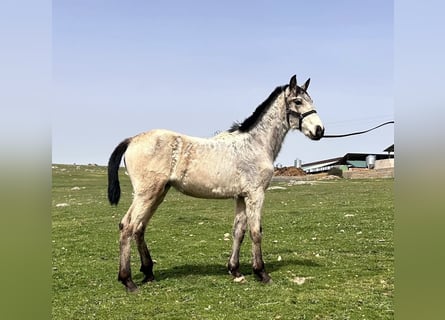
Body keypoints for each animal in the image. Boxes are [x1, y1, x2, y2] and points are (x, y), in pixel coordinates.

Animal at [107, 75, 322, 292]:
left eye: (310, 100)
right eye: (298, 101)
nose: (319, 130)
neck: (255, 144)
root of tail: (133, 139)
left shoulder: (241, 196)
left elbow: (238, 231)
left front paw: (234, 270)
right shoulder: (256, 194)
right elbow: (255, 232)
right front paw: (261, 273)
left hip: (157, 194)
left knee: (138, 227)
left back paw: (148, 272)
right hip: (147, 194)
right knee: (128, 227)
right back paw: (128, 280)